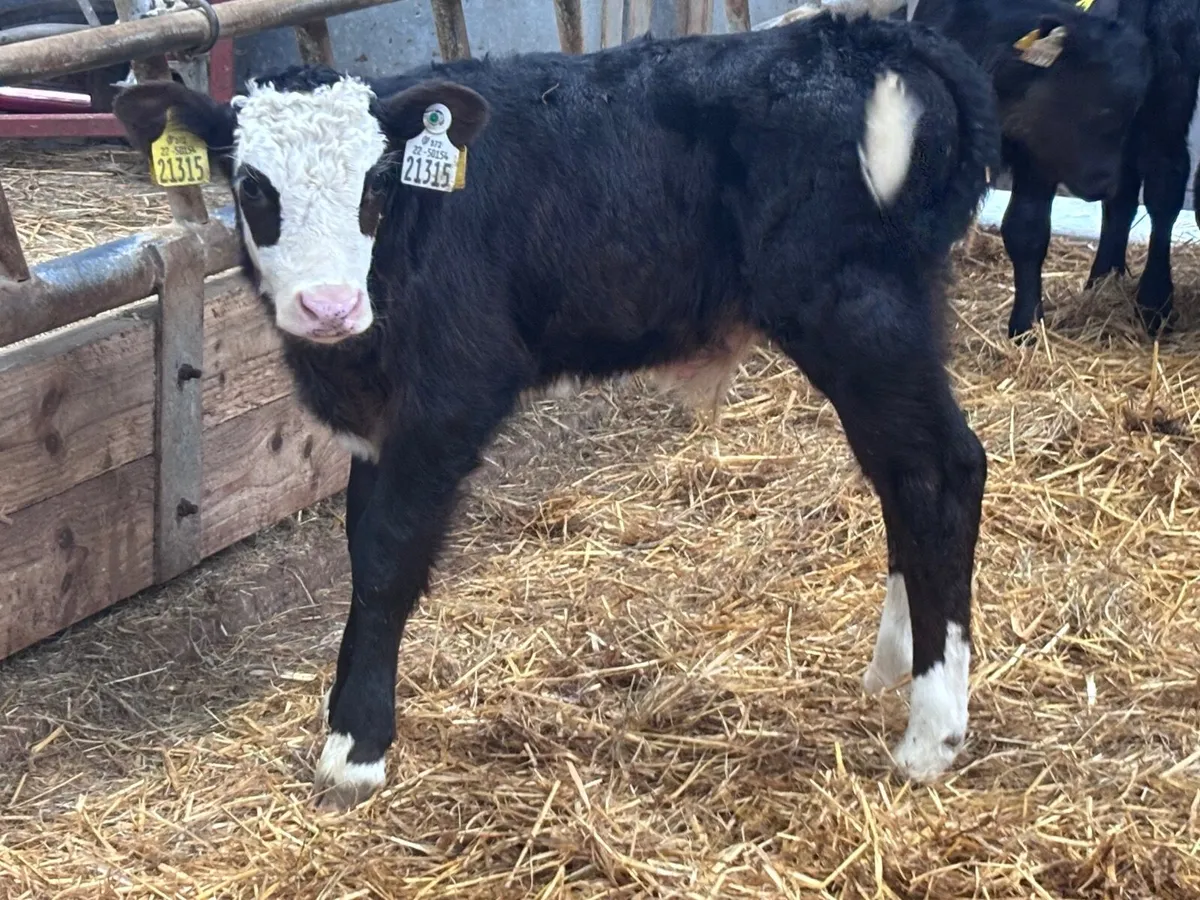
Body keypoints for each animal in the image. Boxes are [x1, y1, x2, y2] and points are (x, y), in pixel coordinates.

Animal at [113, 14, 1000, 807]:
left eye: (376, 182)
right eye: (252, 185)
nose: (328, 306)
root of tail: (870, 35)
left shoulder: (452, 394)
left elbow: (390, 556)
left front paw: (356, 748)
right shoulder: (377, 423)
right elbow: (361, 547)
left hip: (858, 313)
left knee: (942, 471)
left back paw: (931, 733)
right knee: (901, 476)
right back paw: (894, 662)